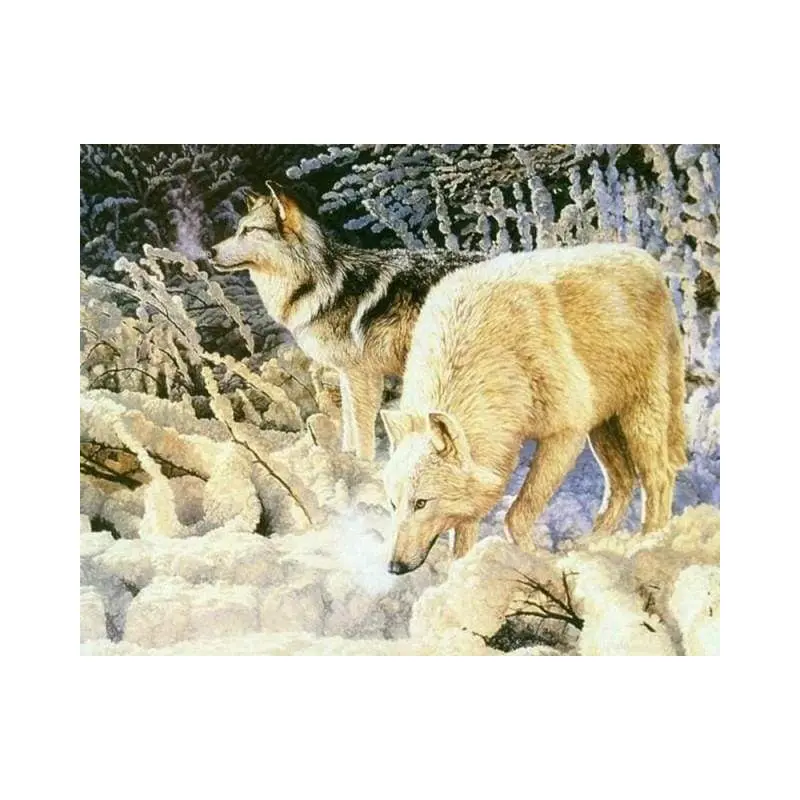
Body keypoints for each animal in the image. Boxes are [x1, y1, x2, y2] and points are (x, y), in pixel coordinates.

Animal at [210, 186, 482, 460]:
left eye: (249, 230)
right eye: (238, 229)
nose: (210, 252)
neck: (319, 284)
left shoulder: (363, 375)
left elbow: (361, 431)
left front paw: (364, 464)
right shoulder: (346, 374)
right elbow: (349, 425)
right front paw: (349, 459)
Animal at [380, 243, 687, 574]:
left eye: (421, 502)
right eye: (393, 504)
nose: (394, 566)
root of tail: (645, 259)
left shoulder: (565, 433)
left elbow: (517, 514)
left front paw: (535, 561)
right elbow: (464, 533)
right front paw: (461, 571)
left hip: (638, 417)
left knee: (659, 477)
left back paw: (649, 542)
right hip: (602, 428)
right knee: (623, 484)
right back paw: (593, 542)